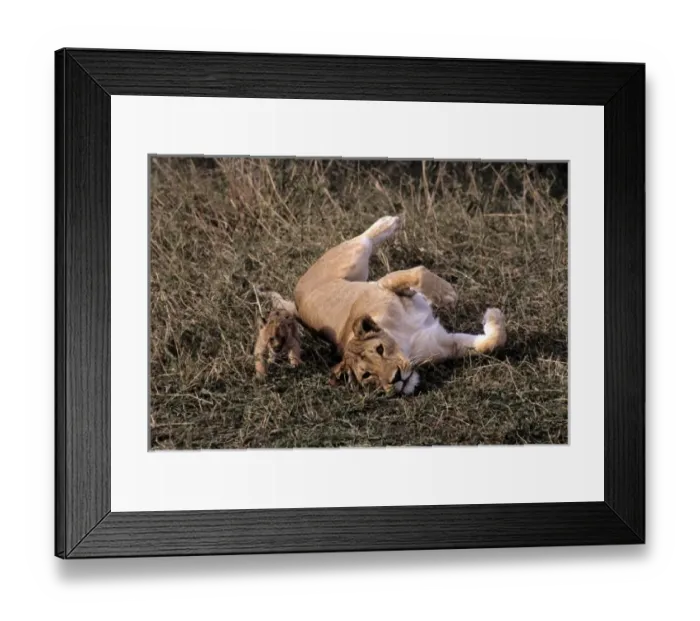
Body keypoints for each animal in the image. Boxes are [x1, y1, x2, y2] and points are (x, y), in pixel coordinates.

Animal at [293, 215, 506, 396]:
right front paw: (493, 317)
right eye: (367, 375)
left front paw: (449, 295)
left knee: (364, 239)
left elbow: (418, 272)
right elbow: (491, 343)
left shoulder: (382, 284)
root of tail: (297, 290)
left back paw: (389, 222)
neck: (404, 342)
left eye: (380, 349)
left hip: (353, 262)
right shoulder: (444, 344)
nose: (396, 378)